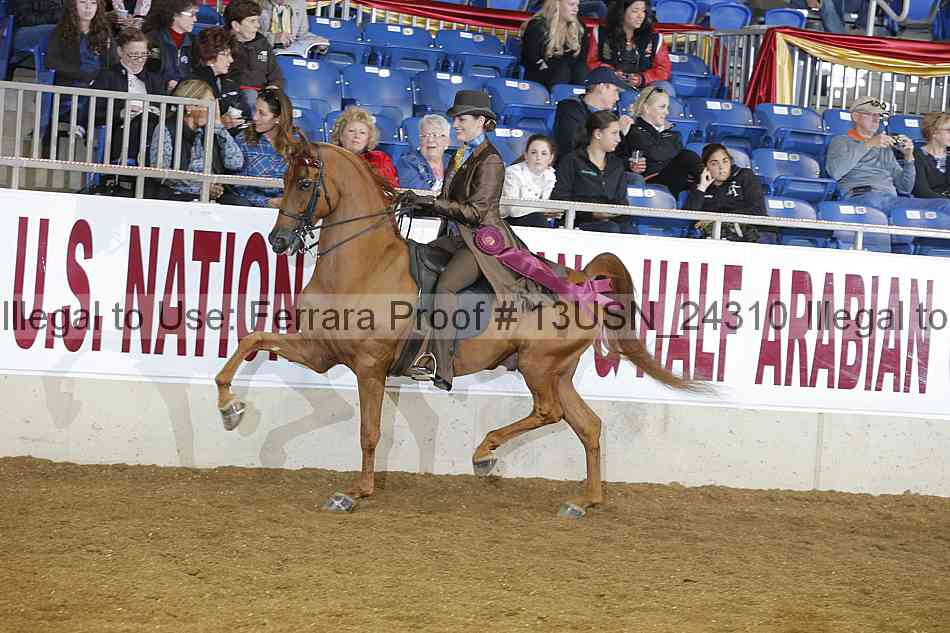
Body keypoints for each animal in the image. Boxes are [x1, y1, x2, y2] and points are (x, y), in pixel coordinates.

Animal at [215, 142, 700, 517]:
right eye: (282, 179)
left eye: (303, 184)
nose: (278, 242)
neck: (364, 264)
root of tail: (583, 282)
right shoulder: (321, 353)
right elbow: (252, 339)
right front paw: (229, 408)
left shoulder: (369, 367)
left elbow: (370, 432)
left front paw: (355, 493)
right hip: (559, 372)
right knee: (589, 426)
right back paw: (583, 501)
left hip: (537, 366)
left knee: (549, 413)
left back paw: (485, 453)